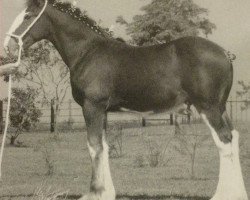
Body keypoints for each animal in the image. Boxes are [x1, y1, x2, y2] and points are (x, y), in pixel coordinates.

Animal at [2, 0, 249, 200]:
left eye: (28, 16)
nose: (8, 46)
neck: (88, 51)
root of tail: (224, 53)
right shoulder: (102, 110)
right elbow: (104, 147)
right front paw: (107, 193)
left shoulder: (92, 107)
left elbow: (94, 147)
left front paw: (95, 193)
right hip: (220, 107)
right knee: (233, 138)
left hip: (208, 107)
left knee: (224, 142)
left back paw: (223, 195)